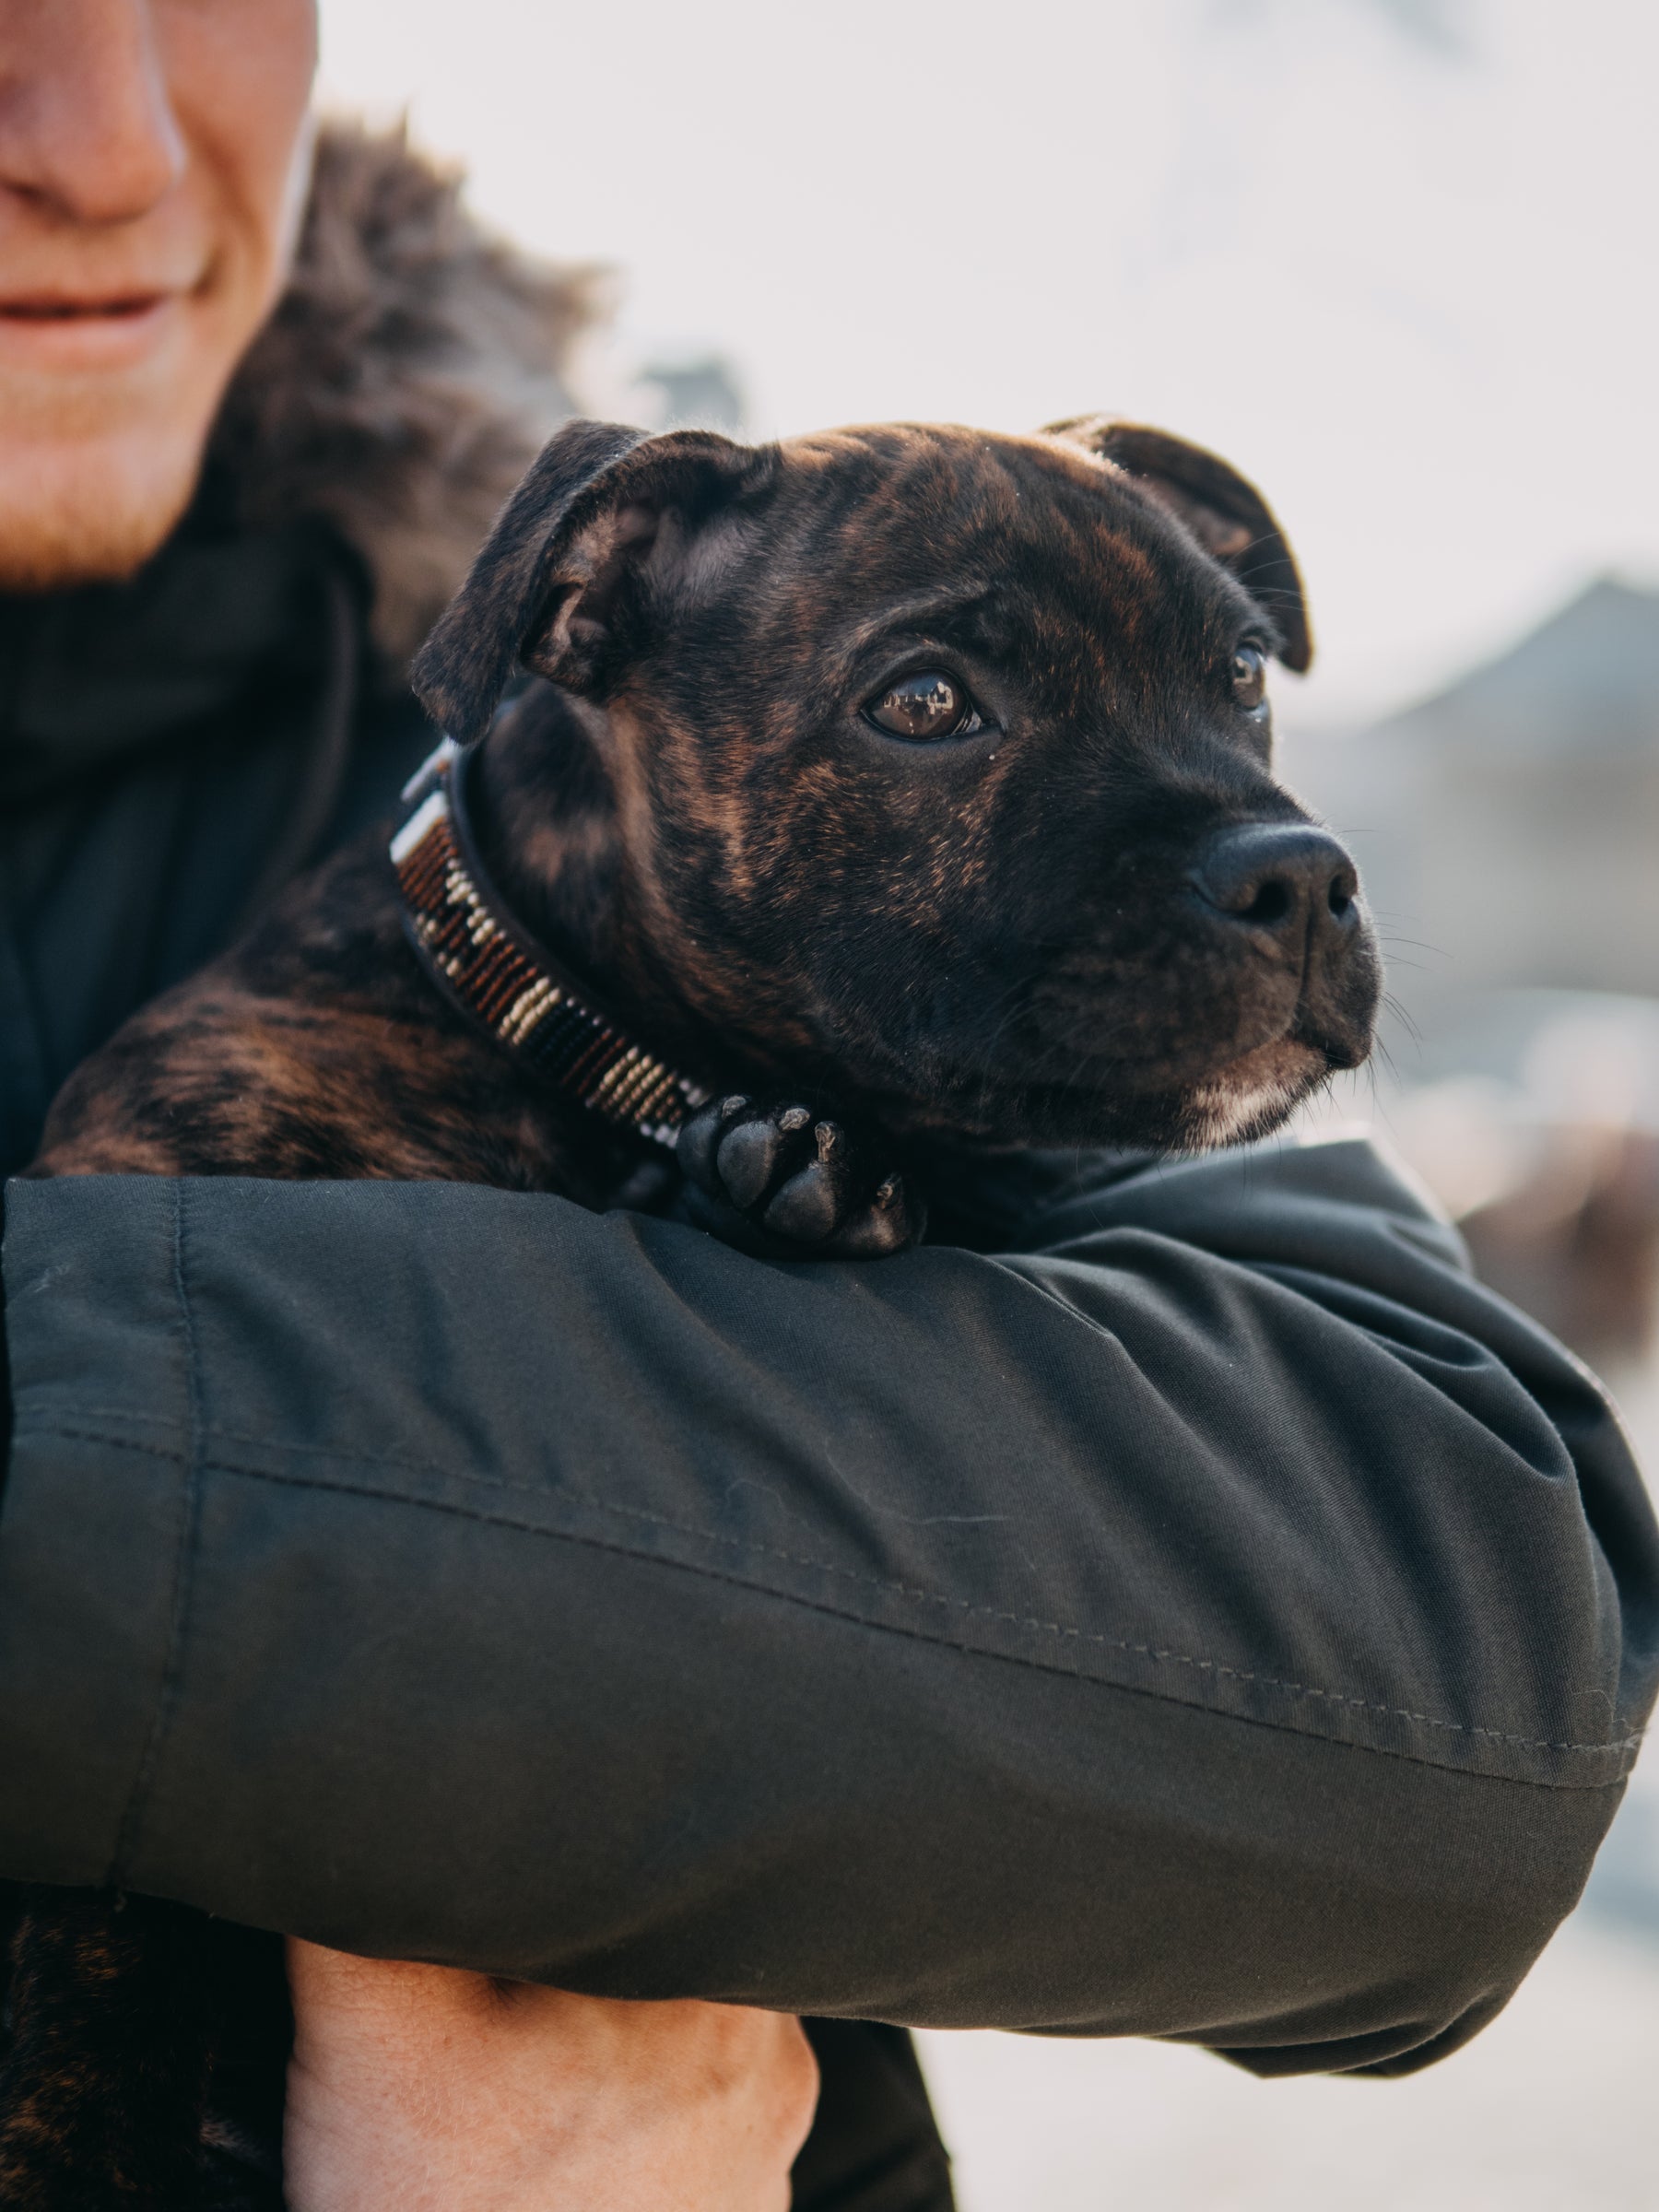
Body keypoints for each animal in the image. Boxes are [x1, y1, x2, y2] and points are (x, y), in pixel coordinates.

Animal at [3, 411, 1389, 2194]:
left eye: (1241, 676)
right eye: (925, 704)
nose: (1302, 876)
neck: (596, 1064)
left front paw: (804, 1179)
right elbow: (104, 1951)